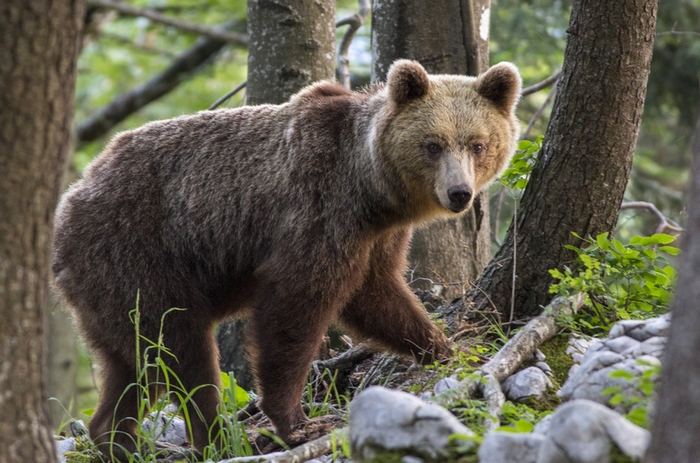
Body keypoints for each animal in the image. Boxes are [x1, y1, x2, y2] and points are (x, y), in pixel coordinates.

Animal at [52, 60, 520, 460]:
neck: (370, 189)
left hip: (111, 290)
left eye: (478, 144)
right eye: (432, 144)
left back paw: (118, 440)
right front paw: (296, 422)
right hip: (138, 255)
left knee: (132, 362)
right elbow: (296, 307)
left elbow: (380, 296)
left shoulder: (377, 237)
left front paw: (446, 347)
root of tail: (69, 203)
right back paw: (216, 438)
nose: (459, 193)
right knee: (179, 350)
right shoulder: (317, 211)